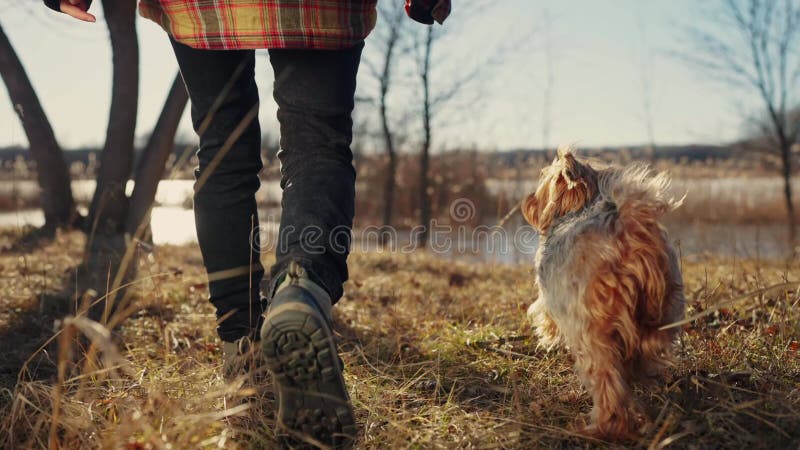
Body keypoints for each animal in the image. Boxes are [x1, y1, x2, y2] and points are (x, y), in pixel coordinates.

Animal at [520, 148, 684, 440]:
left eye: (543, 183)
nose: (527, 201)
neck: (579, 208)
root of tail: (628, 233)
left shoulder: (550, 295)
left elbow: (545, 317)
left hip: (592, 332)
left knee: (607, 384)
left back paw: (602, 427)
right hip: (665, 307)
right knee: (645, 350)